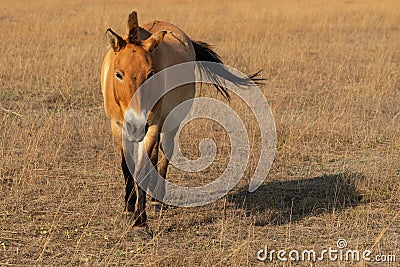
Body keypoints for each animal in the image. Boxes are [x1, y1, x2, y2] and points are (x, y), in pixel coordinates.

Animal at [100, 11, 260, 227]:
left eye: (151, 74)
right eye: (118, 74)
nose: (136, 124)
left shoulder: (152, 125)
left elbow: (141, 168)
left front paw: (141, 220)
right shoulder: (117, 126)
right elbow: (127, 166)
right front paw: (129, 206)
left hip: (170, 122)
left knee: (165, 152)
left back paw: (158, 196)